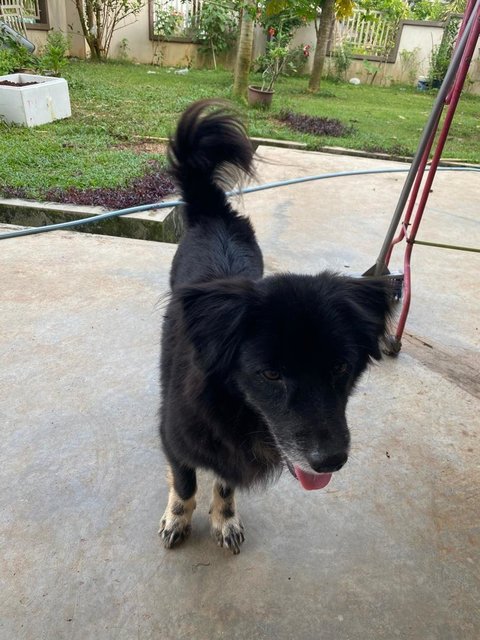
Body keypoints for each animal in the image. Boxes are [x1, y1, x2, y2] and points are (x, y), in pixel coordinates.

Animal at [158, 100, 390, 556]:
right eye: (269, 374)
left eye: (341, 367)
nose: (331, 461)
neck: (235, 412)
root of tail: (215, 210)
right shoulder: (173, 436)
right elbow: (186, 481)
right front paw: (177, 518)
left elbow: (225, 486)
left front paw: (225, 520)